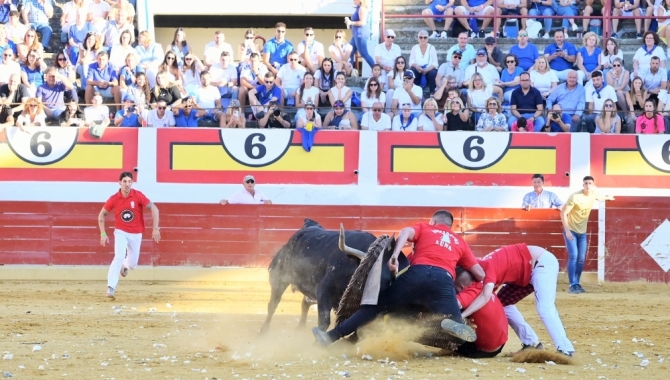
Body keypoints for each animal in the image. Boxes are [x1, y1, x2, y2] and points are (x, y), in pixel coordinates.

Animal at [262, 218, 410, 334]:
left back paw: (300, 329)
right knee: (273, 304)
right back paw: (263, 331)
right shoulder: (324, 291)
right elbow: (324, 322)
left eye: (387, 284)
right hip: (279, 278)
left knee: (305, 303)